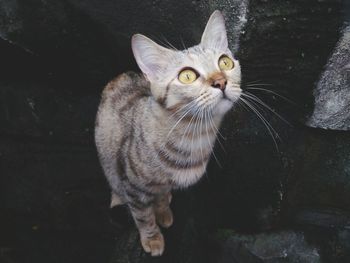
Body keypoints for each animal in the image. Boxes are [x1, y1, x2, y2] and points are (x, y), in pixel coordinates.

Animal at [94, 10, 242, 258]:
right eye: (187, 76)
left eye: (225, 62)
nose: (220, 81)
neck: (194, 137)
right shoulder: (133, 188)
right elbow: (143, 217)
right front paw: (153, 239)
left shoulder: (165, 183)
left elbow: (162, 197)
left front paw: (163, 212)